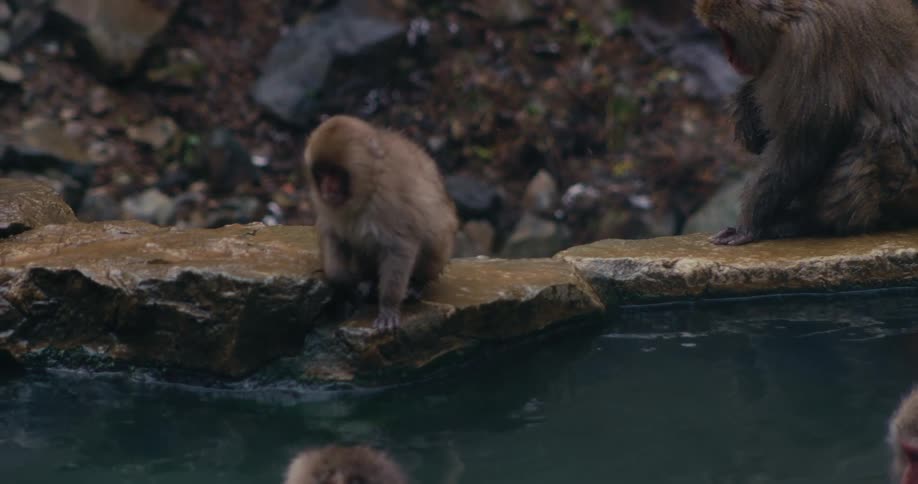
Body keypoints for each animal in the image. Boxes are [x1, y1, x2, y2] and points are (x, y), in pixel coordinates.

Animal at [304, 115, 459, 331]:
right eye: (321, 173)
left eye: (335, 173)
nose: (327, 188)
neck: (368, 187)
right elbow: (332, 235)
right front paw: (344, 284)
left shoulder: (390, 201)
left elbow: (400, 247)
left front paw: (388, 306)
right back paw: (368, 281)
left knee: (434, 237)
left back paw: (417, 284)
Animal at [695, 0, 918, 246]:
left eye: (724, 33)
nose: (729, 58)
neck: (788, 17)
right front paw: (745, 106)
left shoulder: (809, 47)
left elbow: (804, 145)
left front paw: (749, 225)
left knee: (871, 135)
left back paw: (805, 222)